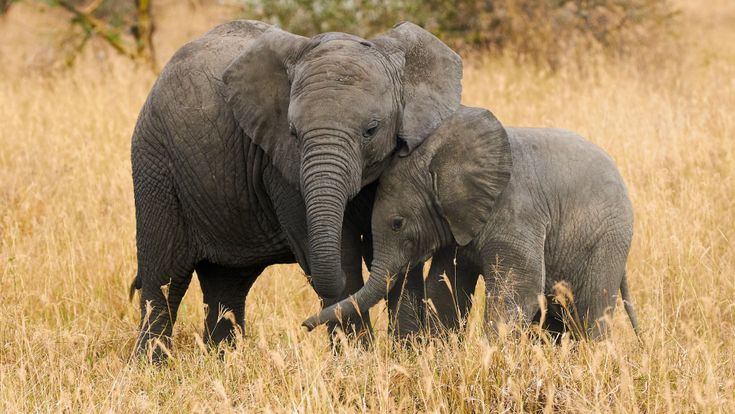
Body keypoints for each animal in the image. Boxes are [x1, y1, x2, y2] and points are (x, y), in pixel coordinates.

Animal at [129, 19, 462, 358]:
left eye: (371, 130)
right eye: (293, 132)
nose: (305, 325)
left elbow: (400, 253)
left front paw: (410, 355)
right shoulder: (280, 167)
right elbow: (343, 254)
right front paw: (358, 359)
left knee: (226, 284)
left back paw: (222, 360)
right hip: (155, 166)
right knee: (165, 278)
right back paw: (153, 363)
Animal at [303, 106, 640, 340]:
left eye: (398, 223)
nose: (304, 325)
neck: (440, 158)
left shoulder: (516, 211)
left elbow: (519, 288)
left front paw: (489, 354)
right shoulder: (456, 223)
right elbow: (445, 286)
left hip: (608, 239)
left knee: (591, 311)